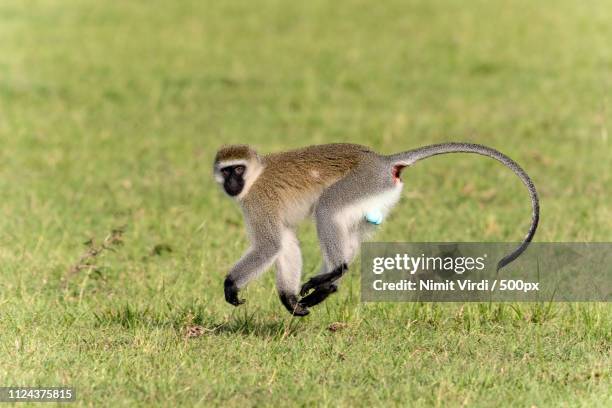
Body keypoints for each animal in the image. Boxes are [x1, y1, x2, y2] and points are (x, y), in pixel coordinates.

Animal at [213, 143, 536, 316]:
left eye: (237, 169)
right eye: (225, 171)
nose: (231, 183)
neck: (255, 177)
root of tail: (382, 161)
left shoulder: (258, 202)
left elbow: (270, 245)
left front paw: (231, 284)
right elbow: (287, 241)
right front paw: (289, 300)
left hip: (361, 182)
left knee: (327, 207)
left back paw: (335, 270)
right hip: (375, 195)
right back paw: (328, 285)